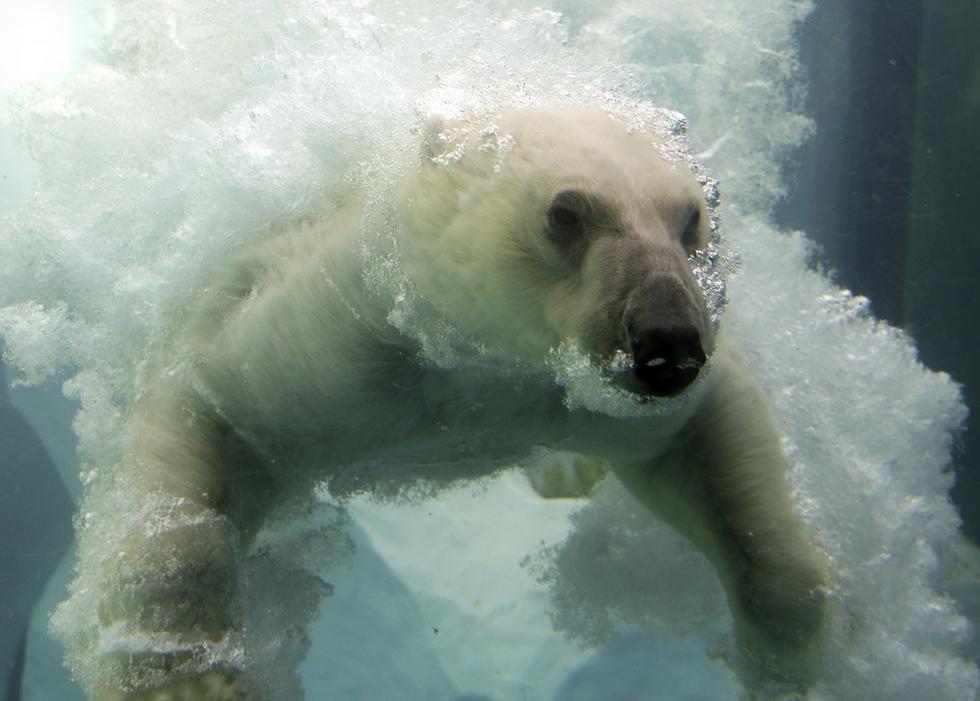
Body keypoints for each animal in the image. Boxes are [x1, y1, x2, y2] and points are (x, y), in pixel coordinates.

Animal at [63, 106, 828, 696]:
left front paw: (786, 660)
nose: (669, 341)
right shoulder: (337, 338)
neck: (469, 361)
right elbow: (216, 417)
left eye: (693, 216)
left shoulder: (571, 395)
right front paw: (191, 680)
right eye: (566, 213)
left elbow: (704, 448)